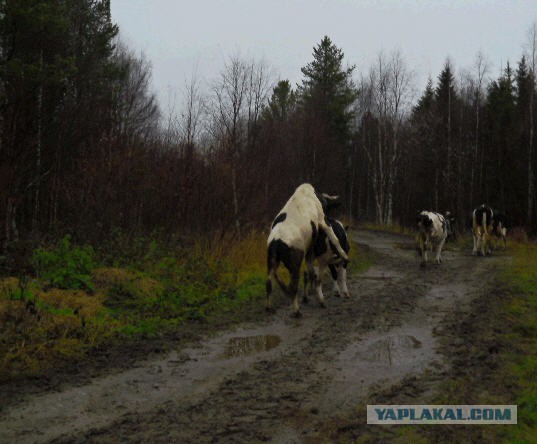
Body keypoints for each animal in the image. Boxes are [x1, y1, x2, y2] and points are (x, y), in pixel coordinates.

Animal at [266, 185, 350, 320]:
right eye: (328, 207)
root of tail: (276, 241)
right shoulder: (322, 220)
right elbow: (334, 238)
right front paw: (344, 255)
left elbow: (311, 270)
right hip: (294, 264)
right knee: (293, 286)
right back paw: (297, 311)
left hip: (271, 261)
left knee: (268, 283)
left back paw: (269, 308)